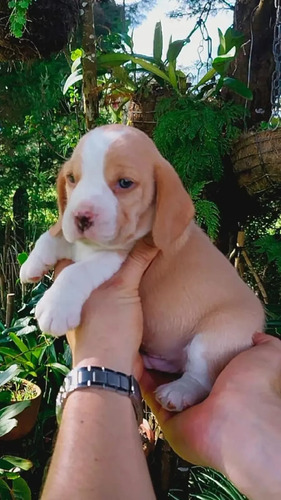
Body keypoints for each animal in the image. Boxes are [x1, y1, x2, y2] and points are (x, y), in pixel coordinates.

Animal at [20, 124, 264, 410]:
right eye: (71, 178)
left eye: (125, 183)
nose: (81, 217)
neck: (90, 247)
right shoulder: (75, 241)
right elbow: (51, 236)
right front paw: (32, 264)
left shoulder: (116, 257)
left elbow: (75, 272)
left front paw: (55, 306)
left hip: (214, 338)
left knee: (200, 378)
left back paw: (178, 392)